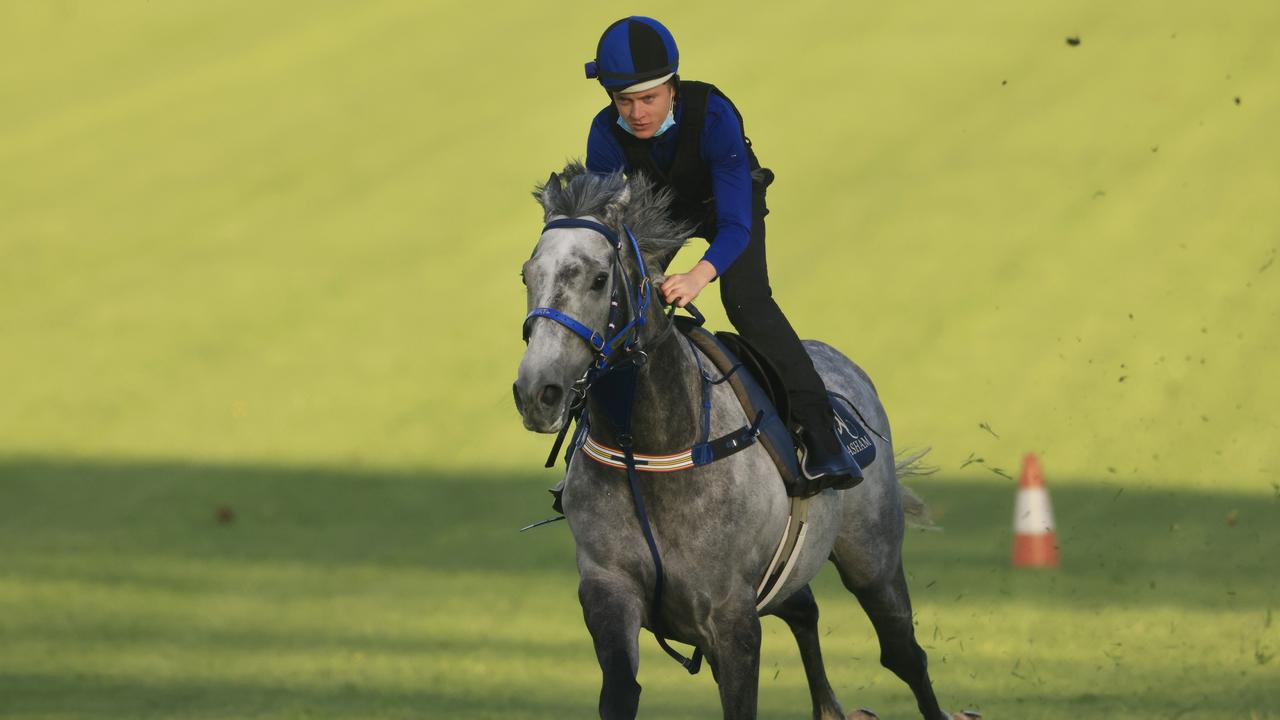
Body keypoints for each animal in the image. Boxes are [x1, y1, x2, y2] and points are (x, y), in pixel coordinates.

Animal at [514, 161, 972, 717]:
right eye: (528, 275)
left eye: (600, 279)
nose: (537, 392)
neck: (649, 446)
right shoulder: (608, 591)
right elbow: (621, 692)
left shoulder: (731, 616)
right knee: (805, 611)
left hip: (873, 559)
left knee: (904, 652)